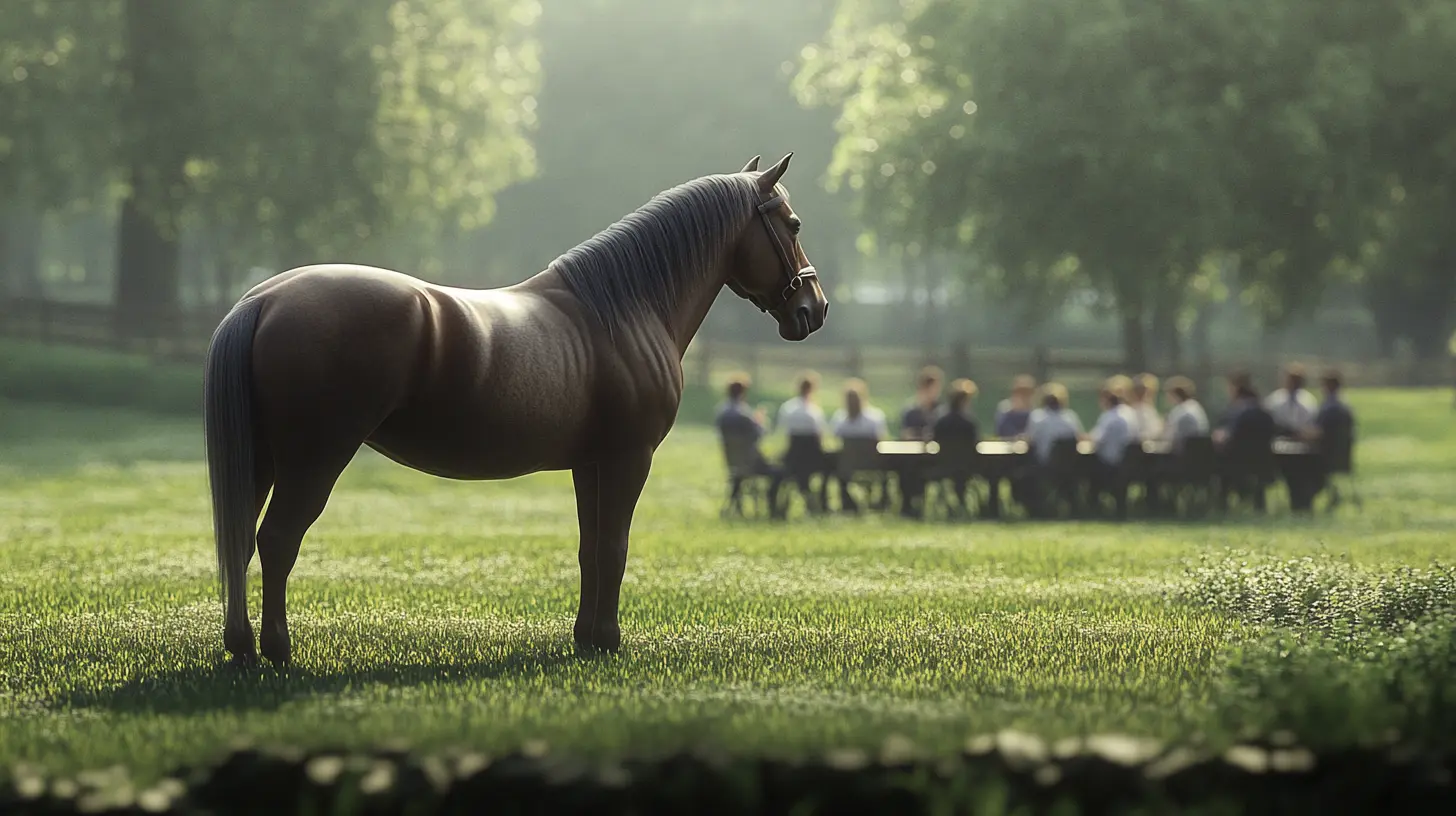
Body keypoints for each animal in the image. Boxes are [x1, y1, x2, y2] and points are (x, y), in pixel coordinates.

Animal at [204, 154, 829, 666]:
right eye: (794, 224)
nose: (813, 308)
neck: (625, 308)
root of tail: (265, 299)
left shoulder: (591, 464)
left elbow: (590, 549)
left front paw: (585, 639)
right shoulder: (629, 460)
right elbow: (614, 548)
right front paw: (608, 641)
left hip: (262, 460)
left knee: (242, 541)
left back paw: (241, 648)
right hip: (314, 460)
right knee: (277, 540)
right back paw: (278, 651)